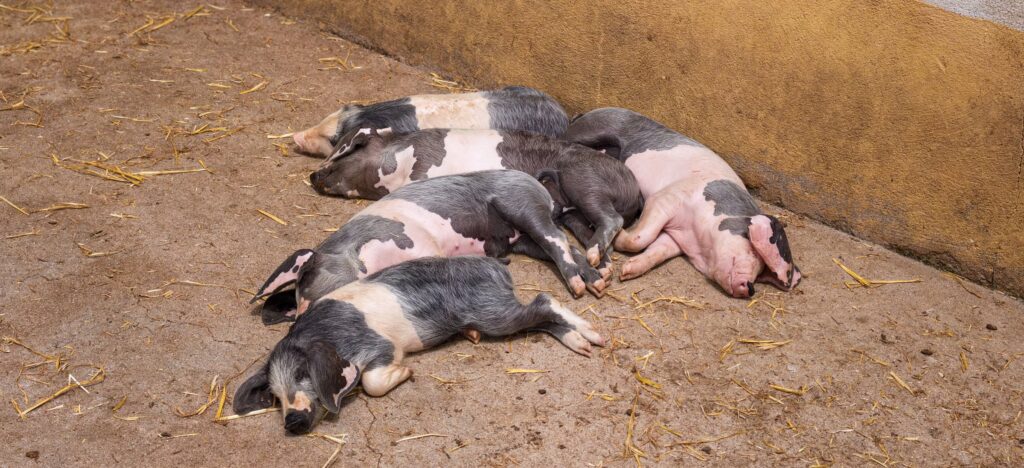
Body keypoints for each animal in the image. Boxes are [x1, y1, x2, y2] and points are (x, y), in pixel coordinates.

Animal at [234, 256, 605, 435]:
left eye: (303, 376)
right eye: (274, 396)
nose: (292, 423)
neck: (326, 335)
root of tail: (495, 265)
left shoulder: (379, 346)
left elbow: (372, 381)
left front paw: (408, 372)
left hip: (492, 310)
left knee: (544, 300)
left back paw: (595, 339)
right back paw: (583, 345)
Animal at [251, 170, 605, 325]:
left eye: (308, 277)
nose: (299, 314)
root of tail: (537, 186)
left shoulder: (410, 241)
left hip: (521, 204)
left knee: (556, 239)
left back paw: (579, 288)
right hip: (524, 240)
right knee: (565, 246)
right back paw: (598, 283)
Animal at [308, 128, 644, 277]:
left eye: (345, 152)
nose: (313, 175)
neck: (403, 162)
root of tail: (635, 188)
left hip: (583, 180)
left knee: (610, 219)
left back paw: (597, 259)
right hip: (574, 208)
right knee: (587, 228)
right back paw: (602, 266)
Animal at [565, 108, 800, 298]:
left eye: (760, 272)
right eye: (752, 251)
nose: (750, 288)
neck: (695, 236)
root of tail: (589, 112)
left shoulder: (675, 239)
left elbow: (657, 250)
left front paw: (627, 272)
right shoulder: (668, 198)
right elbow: (641, 237)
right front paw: (621, 238)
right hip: (594, 127)